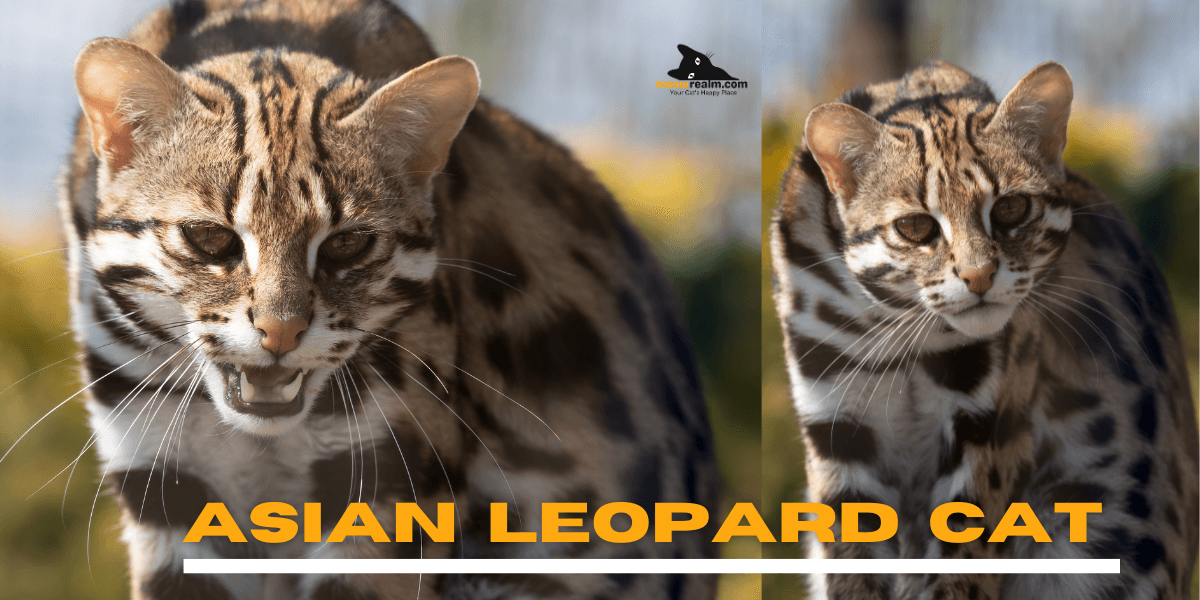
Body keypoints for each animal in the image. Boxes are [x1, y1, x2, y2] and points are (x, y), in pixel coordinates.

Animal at [769, 60, 1198, 599]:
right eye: (915, 227)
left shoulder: (987, 424)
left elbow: (963, 558)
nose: (978, 277)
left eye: (1012, 208)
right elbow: (851, 561)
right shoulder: (837, 424)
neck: (895, 326)